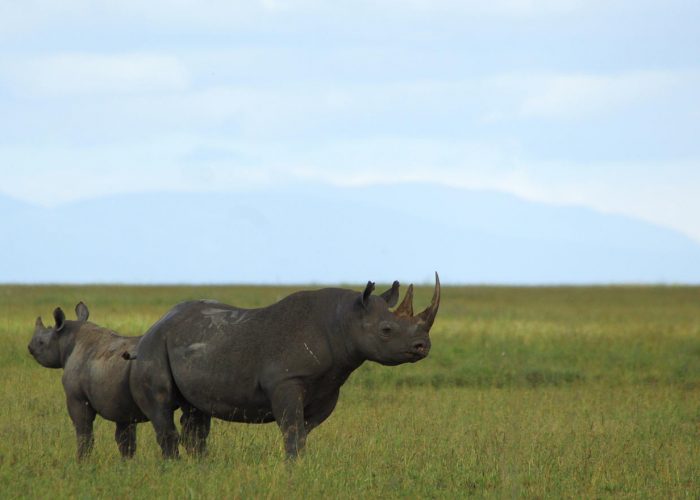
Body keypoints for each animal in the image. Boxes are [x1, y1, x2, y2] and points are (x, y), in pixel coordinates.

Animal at [28, 302, 146, 459]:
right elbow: (125, 441)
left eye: (41, 342)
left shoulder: (77, 398)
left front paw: (81, 461)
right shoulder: (121, 403)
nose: (29, 347)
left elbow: (84, 434)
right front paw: (127, 463)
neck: (66, 339)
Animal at [130, 274, 440, 459]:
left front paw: (299, 468)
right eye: (386, 330)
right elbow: (293, 431)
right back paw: (174, 468)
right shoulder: (285, 381)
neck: (345, 320)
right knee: (162, 412)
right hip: (153, 347)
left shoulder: (328, 388)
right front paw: (294, 474)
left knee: (196, 416)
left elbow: (302, 433)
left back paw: (200, 469)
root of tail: (158, 322)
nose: (422, 346)